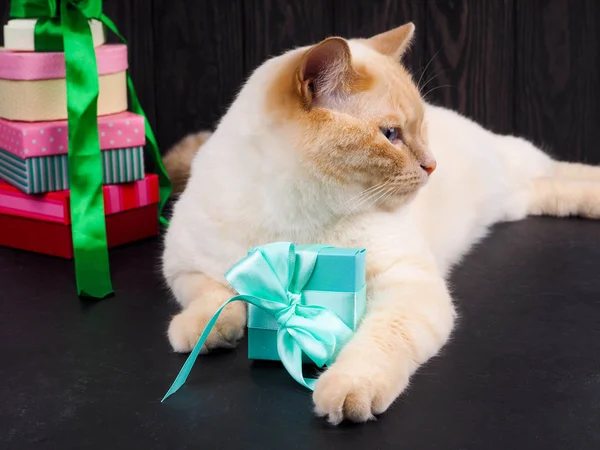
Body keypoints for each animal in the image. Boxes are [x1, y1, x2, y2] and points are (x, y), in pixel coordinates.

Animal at [162, 23, 600, 426]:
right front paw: (206, 333)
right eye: (390, 135)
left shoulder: (408, 287)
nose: (433, 166)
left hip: (517, 163)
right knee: (551, 190)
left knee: (562, 170)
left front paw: (347, 388)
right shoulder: (183, 267)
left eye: (420, 130)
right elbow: (215, 297)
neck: (291, 217)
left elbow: (377, 344)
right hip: (517, 201)